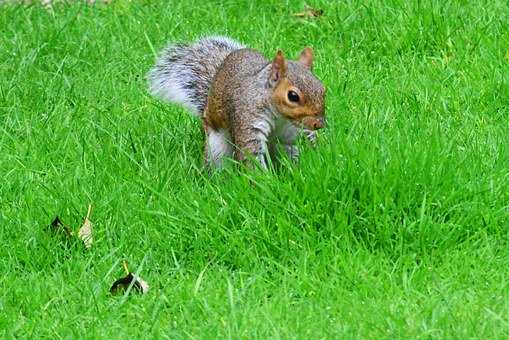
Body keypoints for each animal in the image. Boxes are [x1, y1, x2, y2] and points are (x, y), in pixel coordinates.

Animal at [146, 35, 326, 169]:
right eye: (293, 96)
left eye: (323, 89)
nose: (319, 124)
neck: (280, 117)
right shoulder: (247, 117)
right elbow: (251, 154)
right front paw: (264, 184)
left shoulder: (292, 130)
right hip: (216, 147)